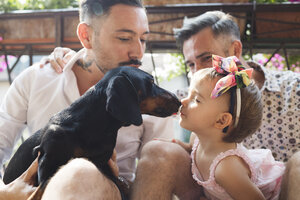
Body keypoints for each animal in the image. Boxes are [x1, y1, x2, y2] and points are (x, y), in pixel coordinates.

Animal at [2, 66, 180, 199]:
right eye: (151, 82)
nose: (179, 101)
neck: (92, 125)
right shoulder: (46, 164)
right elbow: (42, 188)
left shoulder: (102, 162)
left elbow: (118, 184)